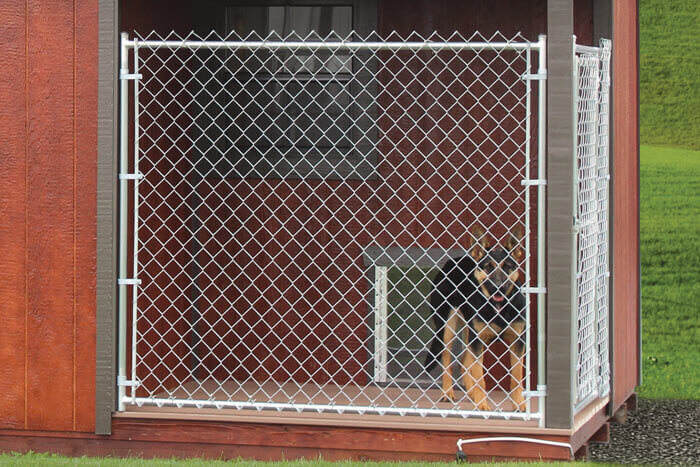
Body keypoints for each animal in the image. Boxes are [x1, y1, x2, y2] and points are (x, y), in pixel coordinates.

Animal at [422, 229, 524, 412]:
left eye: (507, 267)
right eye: (488, 267)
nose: (498, 287)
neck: (498, 307)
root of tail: (452, 261)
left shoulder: (518, 341)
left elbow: (517, 378)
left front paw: (519, 404)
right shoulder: (478, 340)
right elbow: (480, 378)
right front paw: (482, 404)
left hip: (469, 331)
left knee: (464, 362)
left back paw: (470, 394)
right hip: (448, 327)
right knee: (447, 359)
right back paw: (448, 393)